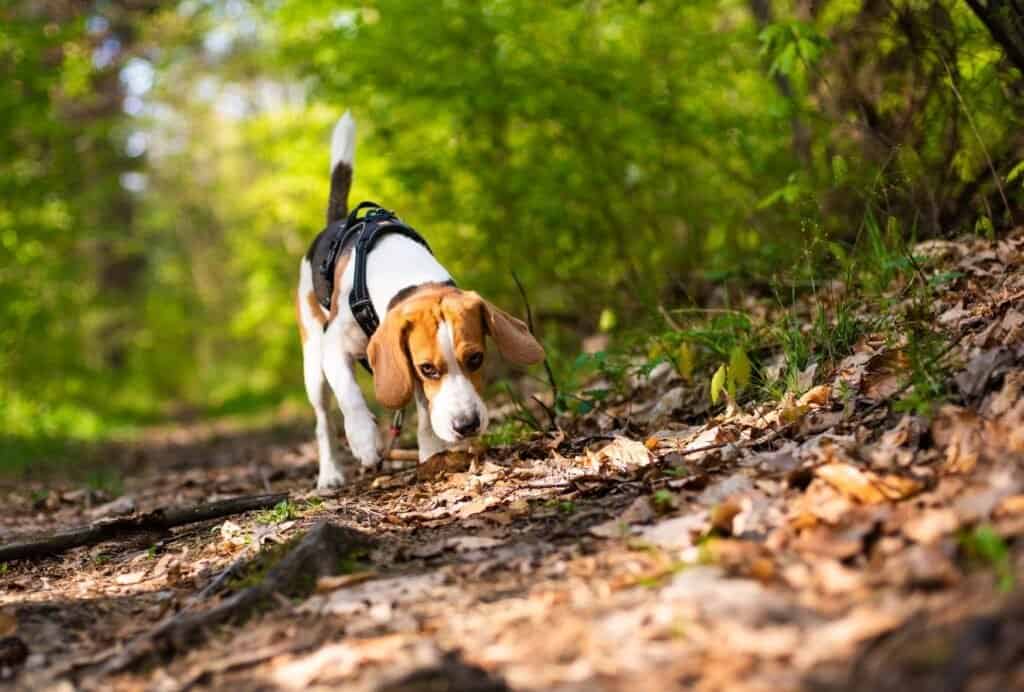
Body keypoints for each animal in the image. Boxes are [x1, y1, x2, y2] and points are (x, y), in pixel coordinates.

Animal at [296, 113, 548, 489]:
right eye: (428, 368)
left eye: (476, 358)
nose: (467, 426)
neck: (408, 275)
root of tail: (337, 223)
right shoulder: (336, 346)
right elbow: (350, 394)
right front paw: (365, 440)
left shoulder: (406, 366)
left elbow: (426, 412)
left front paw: (431, 454)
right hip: (313, 360)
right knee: (324, 418)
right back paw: (330, 473)